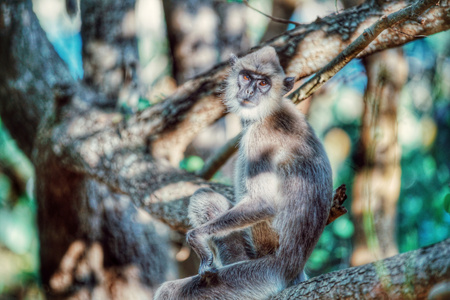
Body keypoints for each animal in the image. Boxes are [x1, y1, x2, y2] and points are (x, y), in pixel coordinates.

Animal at [155, 46, 334, 300]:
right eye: (247, 77)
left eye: (263, 83)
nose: (249, 91)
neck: (273, 109)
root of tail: (291, 271)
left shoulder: (259, 138)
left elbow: (264, 203)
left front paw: (196, 237)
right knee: (204, 198)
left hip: (259, 274)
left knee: (170, 291)